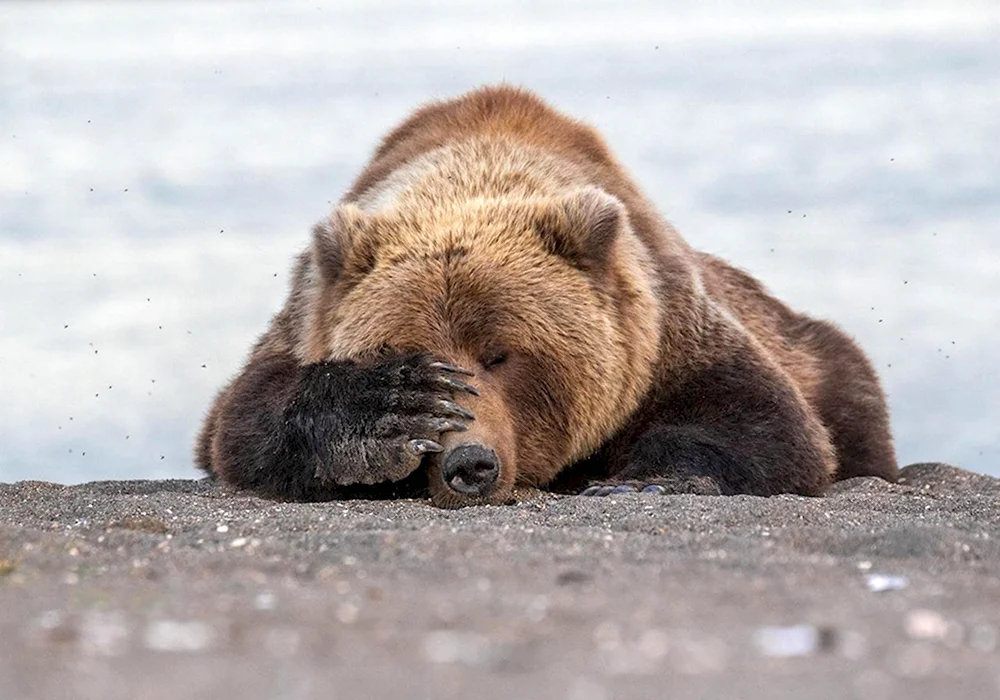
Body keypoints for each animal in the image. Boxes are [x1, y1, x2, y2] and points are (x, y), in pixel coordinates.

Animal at [195, 85, 900, 506]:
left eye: (501, 354)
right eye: (410, 352)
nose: (469, 465)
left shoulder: (664, 329)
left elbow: (764, 423)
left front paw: (642, 481)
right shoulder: (306, 316)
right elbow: (244, 418)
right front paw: (387, 410)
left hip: (815, 352)